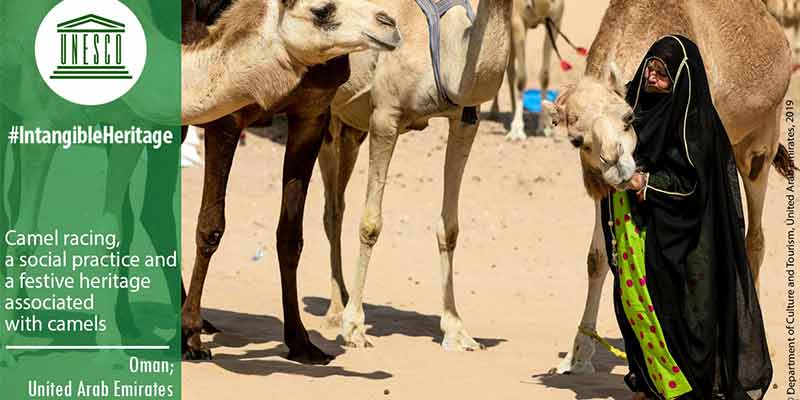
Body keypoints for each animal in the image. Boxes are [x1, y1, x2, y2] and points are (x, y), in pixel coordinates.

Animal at [317, 0, 512, 350]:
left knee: (335, 207)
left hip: (350, 126)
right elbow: (371, 223)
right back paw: (337, 311)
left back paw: (340, 300)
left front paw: (456, 330)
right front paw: (355, 327)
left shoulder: (466, 119)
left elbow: (449, 228)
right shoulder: (385, 115)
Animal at [489, 0, 566, 140]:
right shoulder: (518, 21)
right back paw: (494, 113)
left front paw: (544, 128)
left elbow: (545, 77)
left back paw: (512, 110)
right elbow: (522, 79)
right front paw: (517, 131)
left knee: (510, 69)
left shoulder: (555, 22)